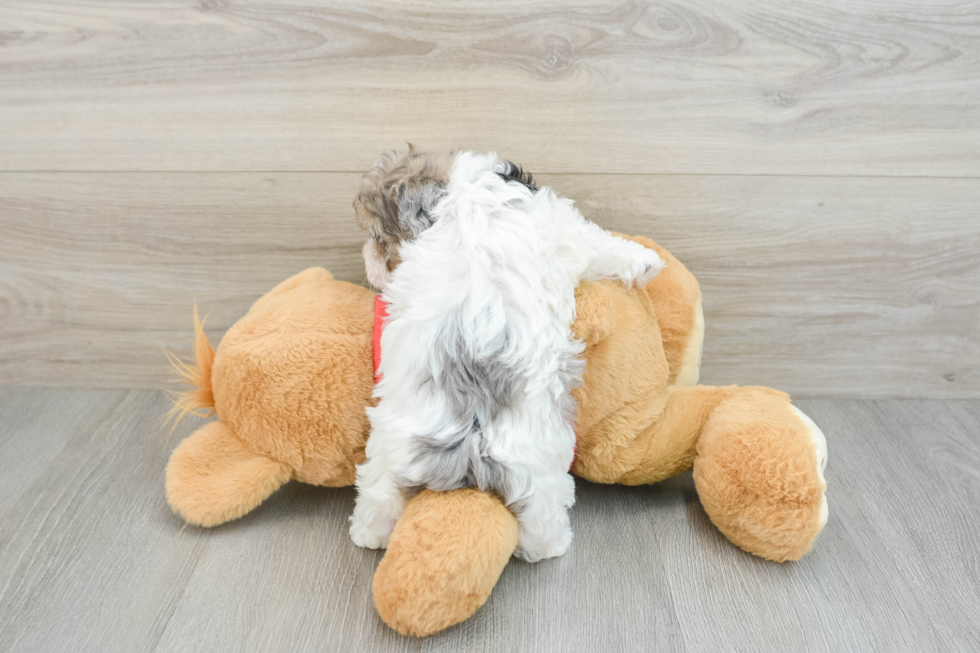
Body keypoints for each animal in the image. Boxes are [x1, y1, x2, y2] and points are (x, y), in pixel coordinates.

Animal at [348, 149, 664, 560]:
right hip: (542, 476)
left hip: (388, 459)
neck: (461, 193)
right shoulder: (566, 230)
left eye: (378, 240)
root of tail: (470, 443)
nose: (371, 266)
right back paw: (554, 545)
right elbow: (603, 245)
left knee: (377, 501)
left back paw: (368, 534)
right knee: (542, 528)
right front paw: (647, 260)